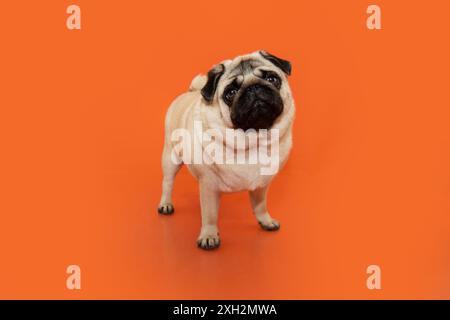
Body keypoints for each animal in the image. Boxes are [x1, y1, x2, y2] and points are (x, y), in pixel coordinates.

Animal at [158, 50, 296, 250]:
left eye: (272, 78)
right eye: (231, 93)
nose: (253, 88)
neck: (252, 140)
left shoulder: (262, 184)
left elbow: (260, 206)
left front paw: (266, 221)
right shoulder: (209, 184)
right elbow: (209, 214)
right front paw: (209, 236)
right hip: (171, 158)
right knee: (167, 183)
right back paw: (165, 204)